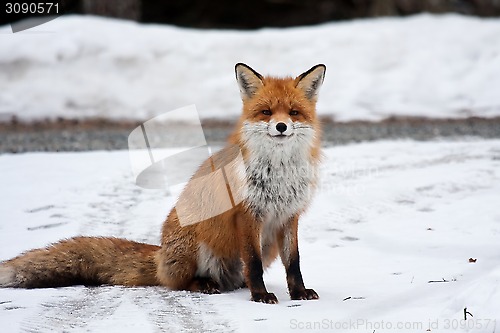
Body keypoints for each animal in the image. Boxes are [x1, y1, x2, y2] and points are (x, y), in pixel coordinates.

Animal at [0, 63, 326, 304]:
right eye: (266, 112)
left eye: (294, 112)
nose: (281, 126)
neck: (279, 172)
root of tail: (159, 254)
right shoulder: (248, 216)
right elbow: (254, 263)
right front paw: (260, 295)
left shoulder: (288, 216)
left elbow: (293, 262)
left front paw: (298, 293)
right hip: (194, 244)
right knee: (179, 283)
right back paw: (205, 284)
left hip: (264, 246)